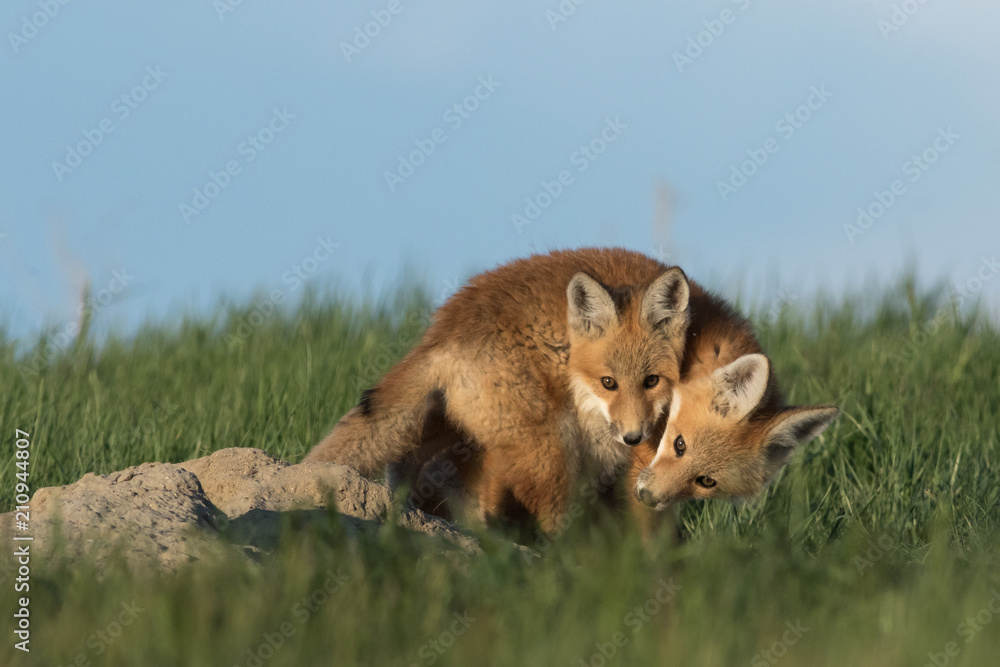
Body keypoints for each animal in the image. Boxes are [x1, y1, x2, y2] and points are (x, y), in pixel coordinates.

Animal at [303, 248, 693, 532]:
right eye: (608, 383)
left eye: (651, 381)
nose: (633, 437)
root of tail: (444, 328)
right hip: (548, 450)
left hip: (445, 430)